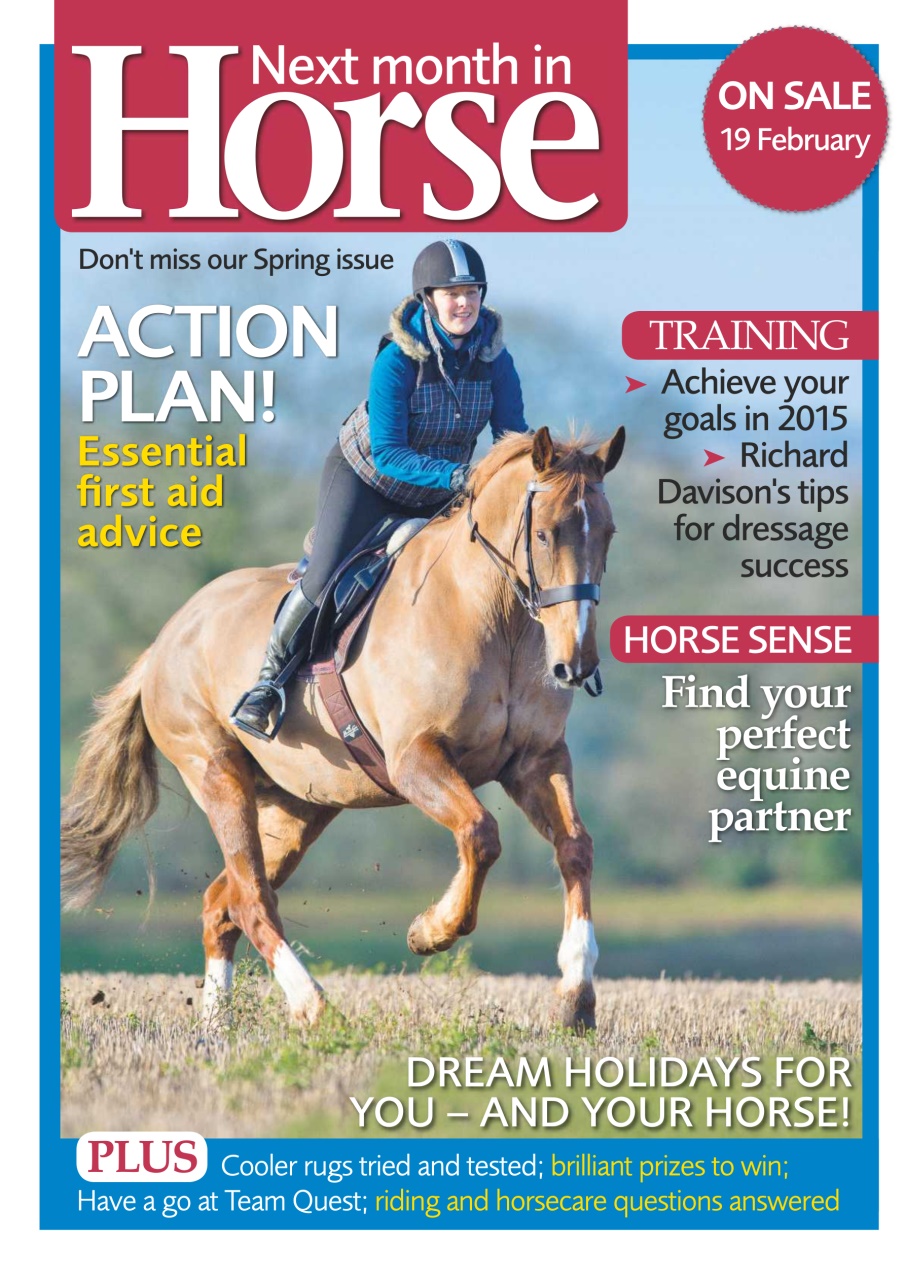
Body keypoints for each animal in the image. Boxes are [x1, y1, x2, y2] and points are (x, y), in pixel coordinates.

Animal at [61, 425, 625, 1032]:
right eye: (543, 534)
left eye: (608, 534)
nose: (575, 665)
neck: (497, 620)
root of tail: (165, 641)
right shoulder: (415, 759)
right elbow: (481, 834)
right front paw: (430, 930)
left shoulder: (537, 761)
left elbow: (575, 847)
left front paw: (576, 998)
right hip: (216, 772)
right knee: (251, 899)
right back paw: (312, 1005)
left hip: (297, 806)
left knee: (221, 904)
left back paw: (217, 1025)